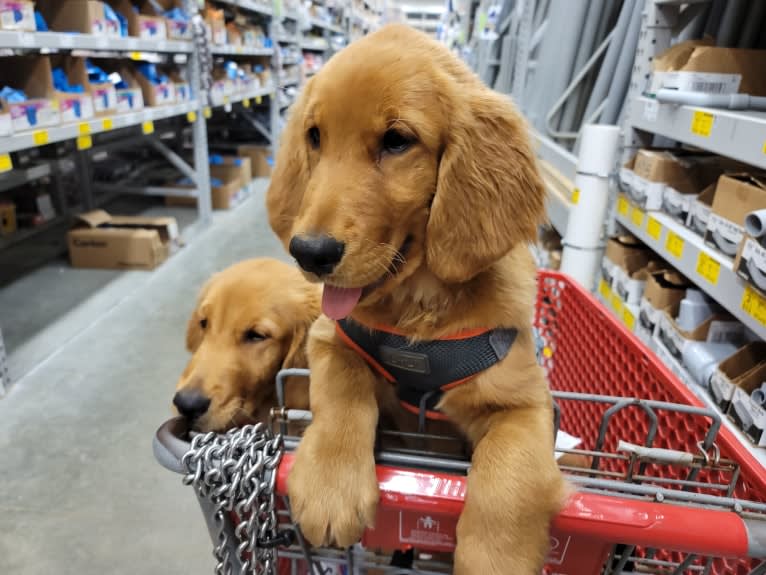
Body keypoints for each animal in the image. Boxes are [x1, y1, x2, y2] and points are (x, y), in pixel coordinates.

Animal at [268, 23, 568, 575]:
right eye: (314, 136)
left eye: (396, 141)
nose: (310, 252)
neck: (416, 312)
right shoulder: (331, 336)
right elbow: (342, 388)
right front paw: (330, 486)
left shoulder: (525, 402)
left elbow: (509, 475)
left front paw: (495, 558)